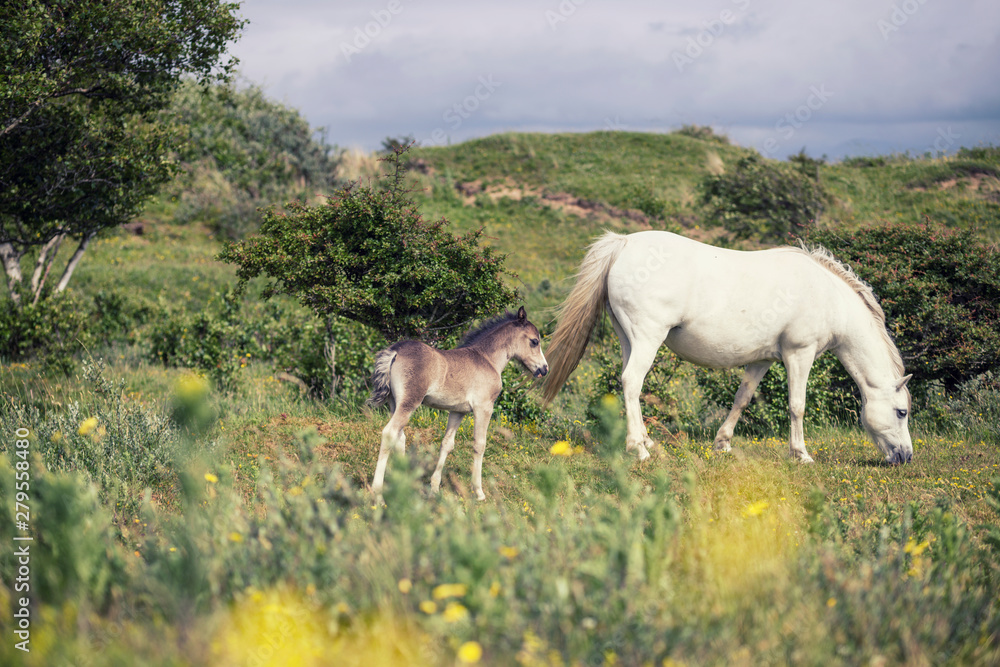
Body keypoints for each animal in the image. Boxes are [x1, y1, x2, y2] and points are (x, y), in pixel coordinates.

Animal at [368, 306, 549, 500]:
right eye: (534, 341)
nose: (544, 369)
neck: (487, 359)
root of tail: (395, 351)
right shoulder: (484, 408)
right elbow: (479, 444)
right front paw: (478, 492)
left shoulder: (458, 411)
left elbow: (447, 444)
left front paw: (434, 487)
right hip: (410, 403)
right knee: (389, 433)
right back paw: (377, 495)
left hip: (395, 403)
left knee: (400, 436)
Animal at [543, 230, 913, 465]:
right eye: (901, 412)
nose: (905, 457)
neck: (827, 295)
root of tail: (624, 243)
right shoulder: (799, 354)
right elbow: (797, 406)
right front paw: (801, 454)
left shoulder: (762, 360)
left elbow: (742, 398)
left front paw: (723, 444)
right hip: (648, 338)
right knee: (632, 382)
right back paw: (639, 449)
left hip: (627, 339)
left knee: (629, 385)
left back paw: (648, 442)